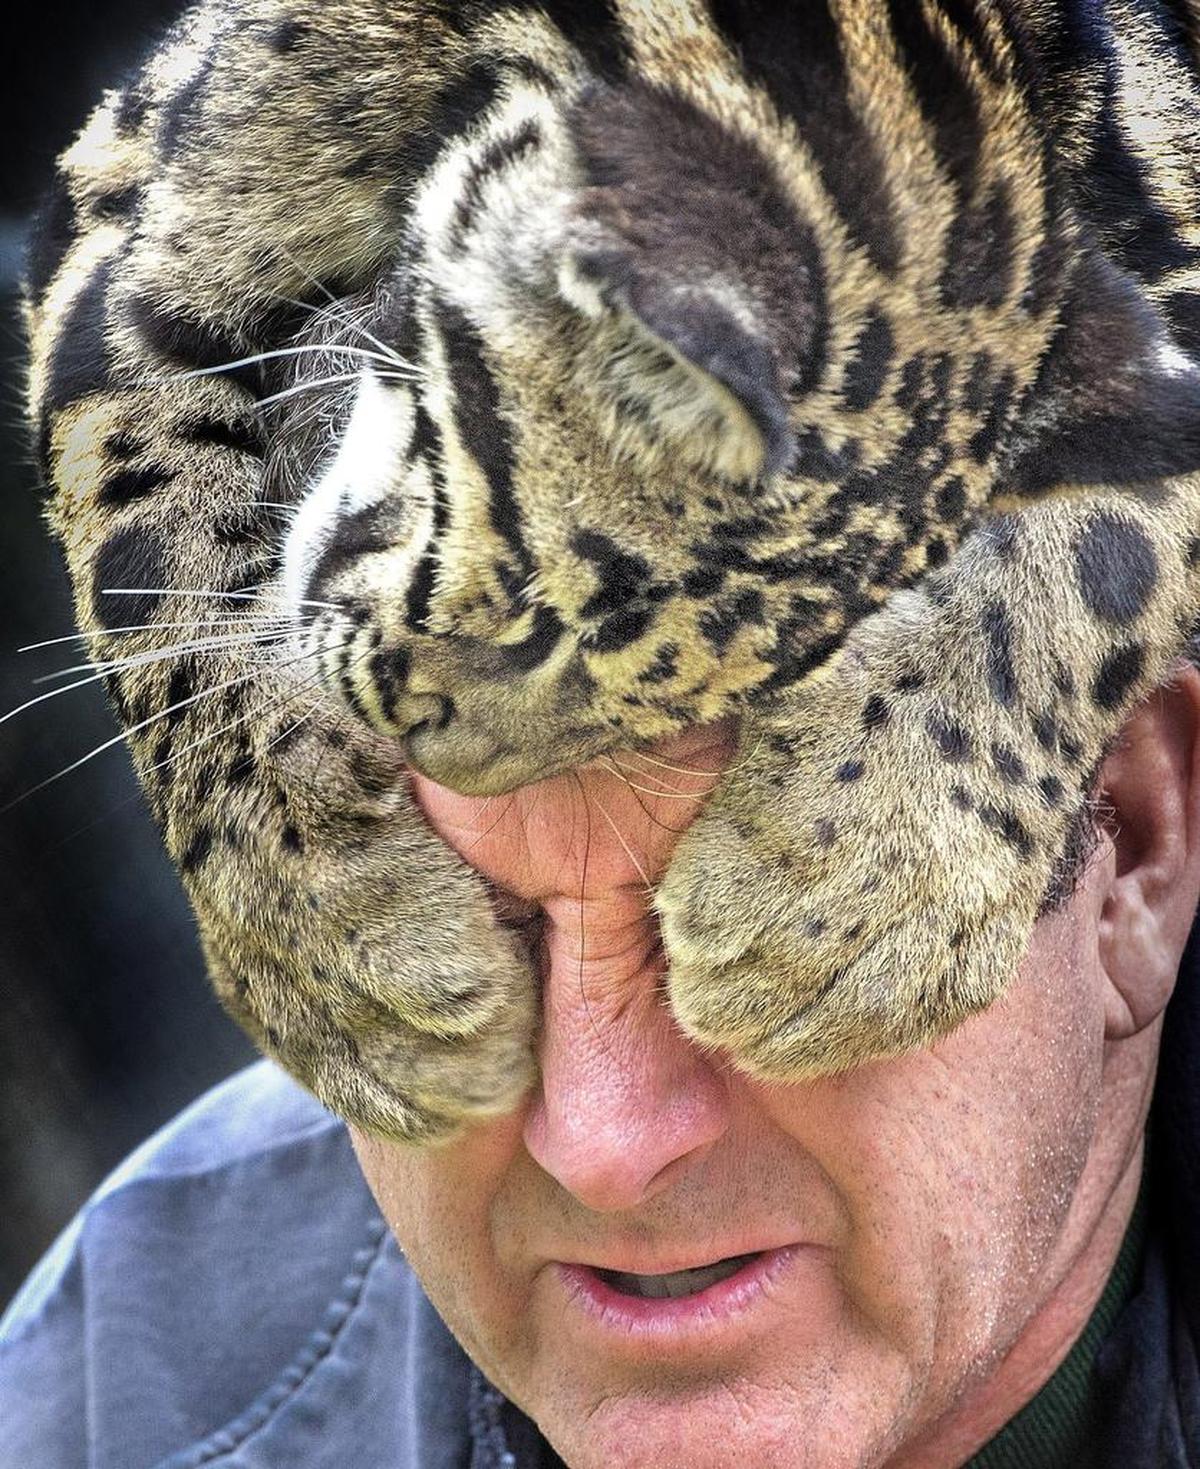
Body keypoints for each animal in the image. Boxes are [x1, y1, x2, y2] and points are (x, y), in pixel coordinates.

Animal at [24, 0, 1200, 1141]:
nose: (443, 756)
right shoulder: (131, 198)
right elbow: (156, 571)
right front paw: (338, 945)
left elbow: (1112, 555)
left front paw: (842, 887)